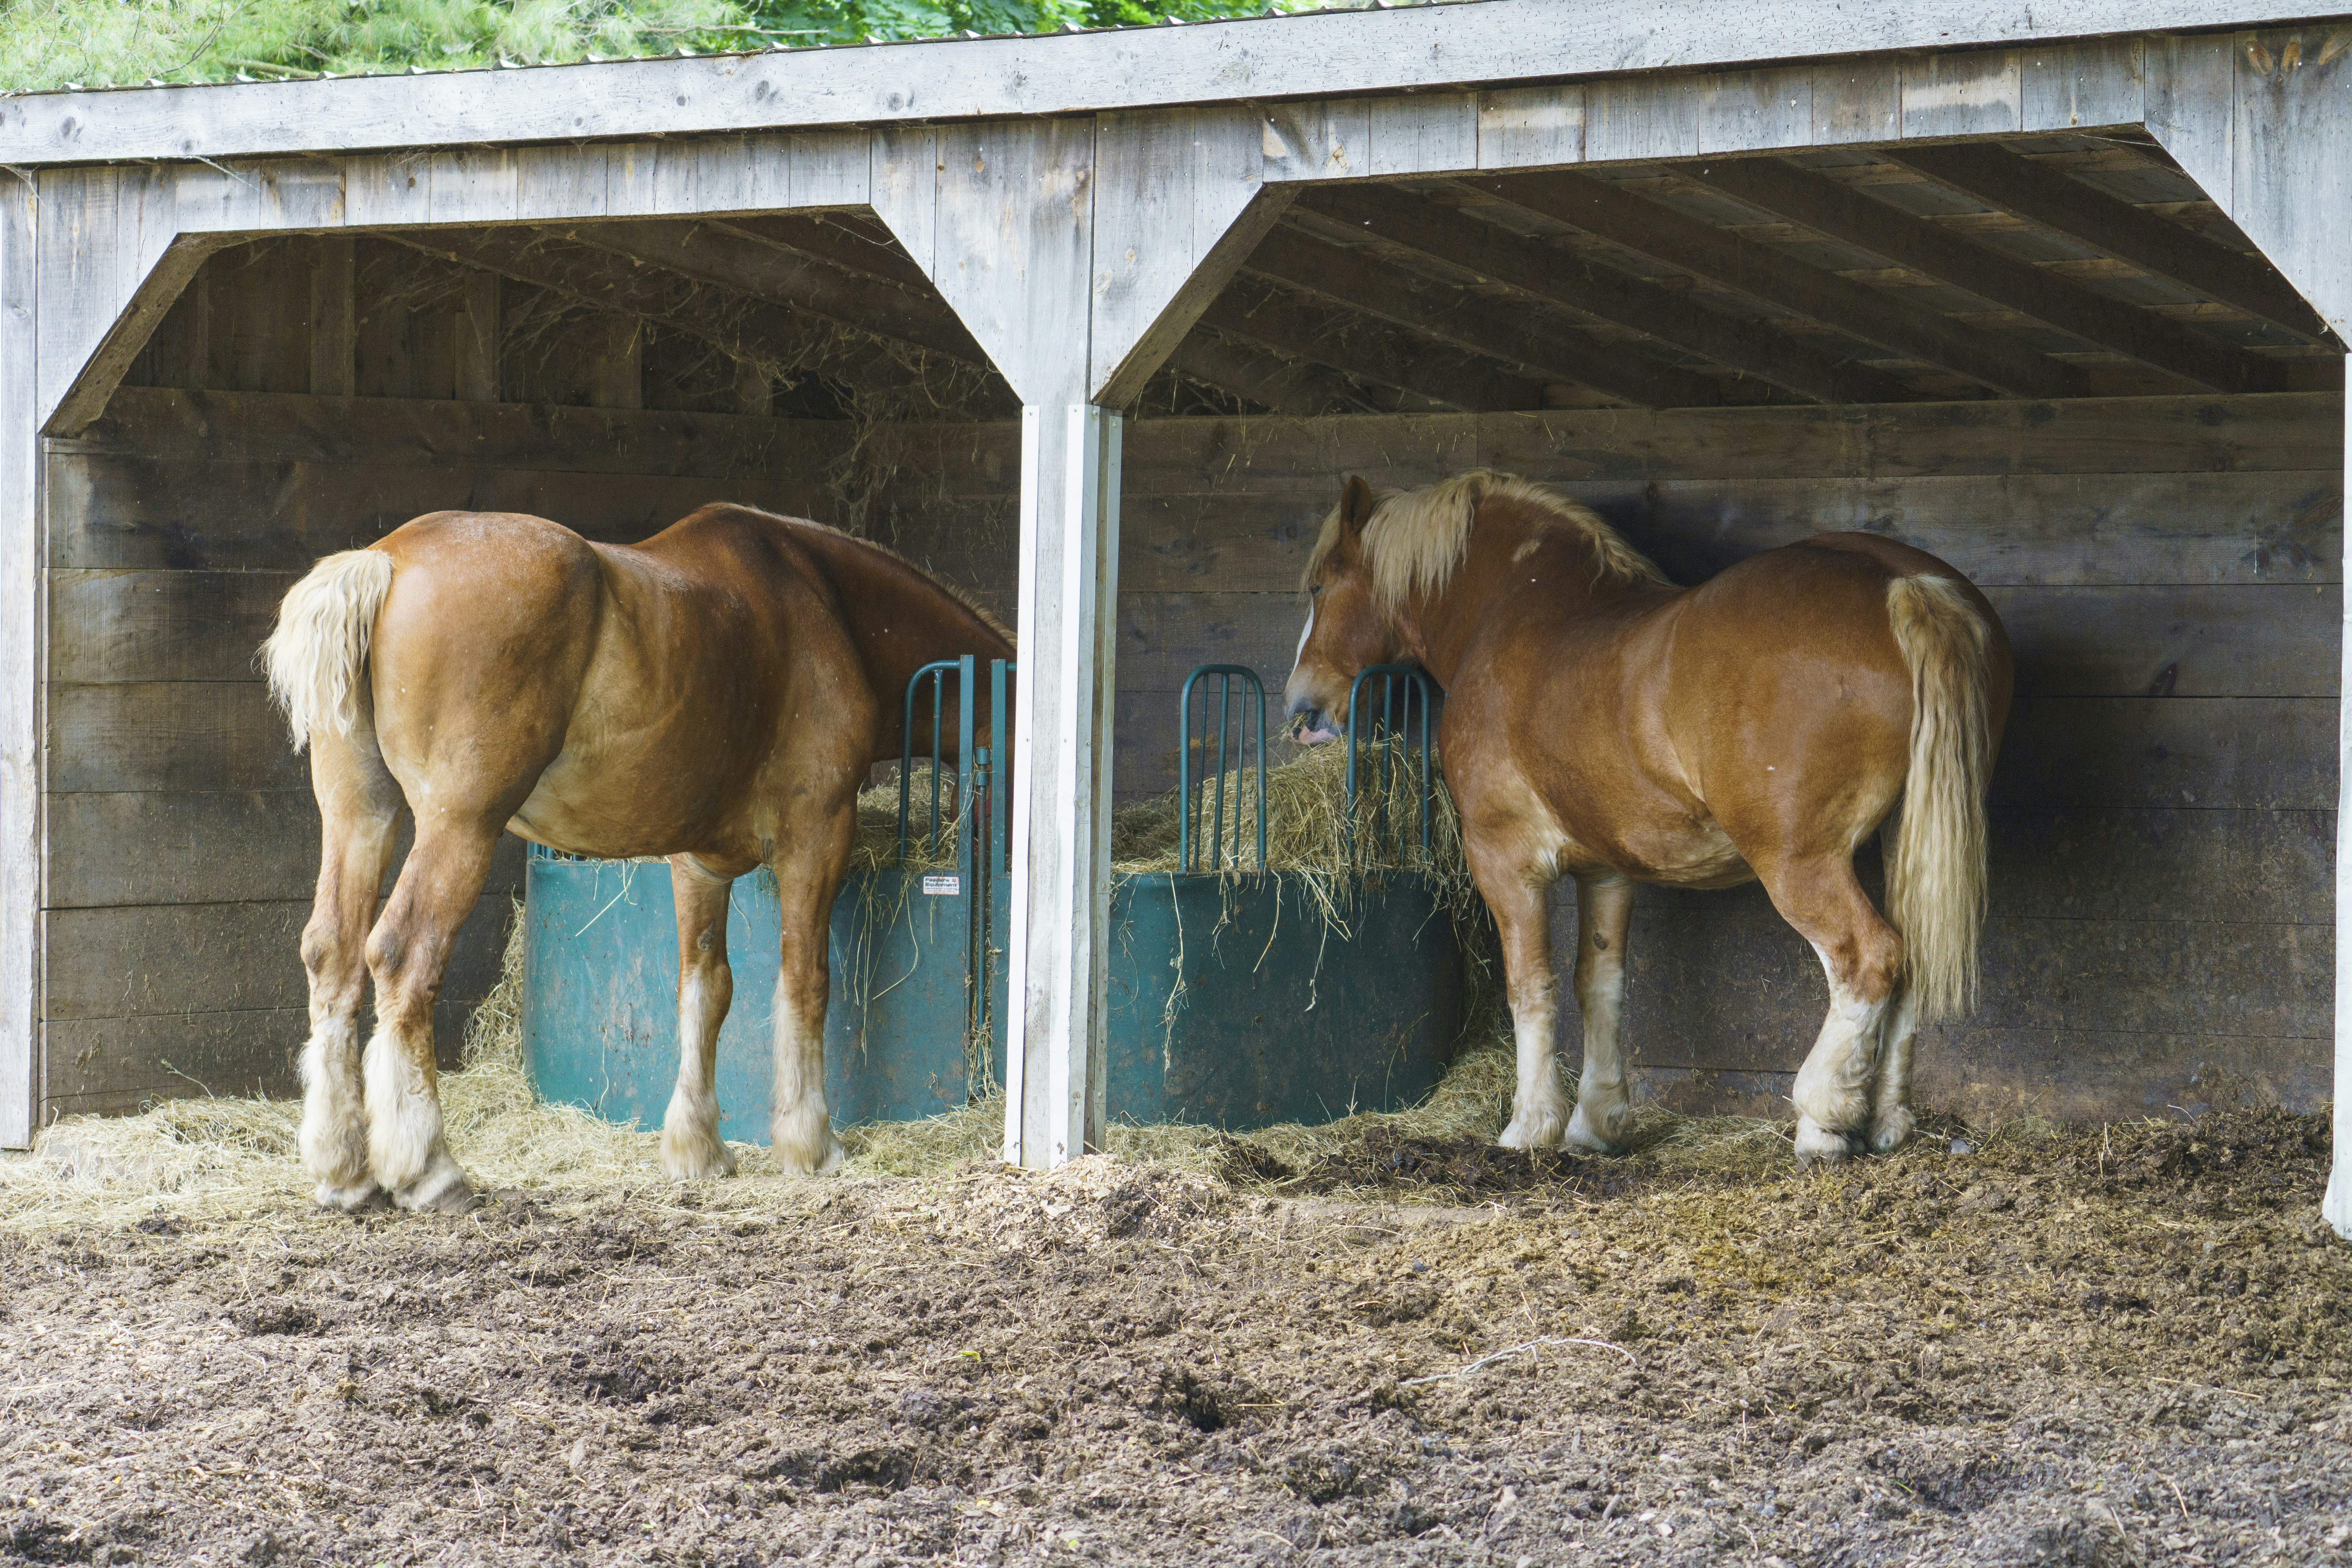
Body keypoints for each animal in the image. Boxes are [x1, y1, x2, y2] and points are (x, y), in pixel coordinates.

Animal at [262, 503, 1012, 1212]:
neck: (830, 606)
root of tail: (386, 561)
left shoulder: (698, 863)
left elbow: (706, 991)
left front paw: (698, 1148)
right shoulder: (818, 835)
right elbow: (805, 981)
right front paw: (810, 1142)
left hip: (361, 815)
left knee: (332, 953)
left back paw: (345, 1172)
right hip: (461, 826)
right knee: (401, 958)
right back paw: (430, 1171)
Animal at [1283, 472, 2011, 1165]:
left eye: (1319, 584)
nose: (1302, 711)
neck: (1515, 611)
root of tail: (1907, 586)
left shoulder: (1502, 859)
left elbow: (1532, 986)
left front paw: (1529, 1127)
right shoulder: (1608, 870)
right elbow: (1600, 986)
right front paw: (1595, 1124)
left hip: (1799, 861)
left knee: (1869, 958)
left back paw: (1824, 1122)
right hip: (1905, 843)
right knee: (1912, 958)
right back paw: (1887, 1121)